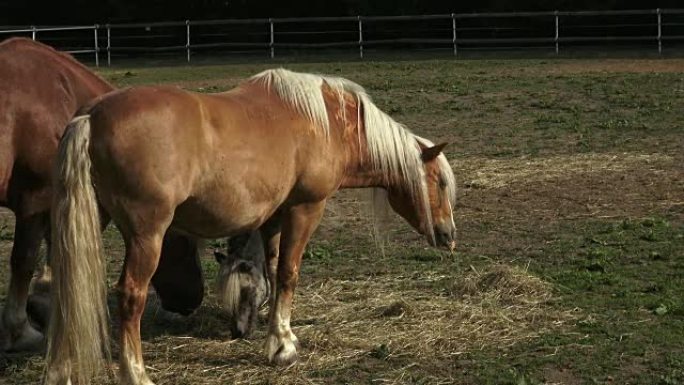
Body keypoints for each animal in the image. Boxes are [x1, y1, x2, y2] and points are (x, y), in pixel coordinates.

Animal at [45, 68, 456, 384]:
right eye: (439, 182)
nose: (449, 236)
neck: (327, 122)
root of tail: (92, 116)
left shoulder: (273, 216)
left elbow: (272, 272)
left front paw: (275, 334)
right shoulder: (305, 209)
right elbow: (289, 272)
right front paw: (284, 346)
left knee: (66, 288)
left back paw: (61, 369)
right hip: (148, 235)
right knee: (131, 295)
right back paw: (136, 373)